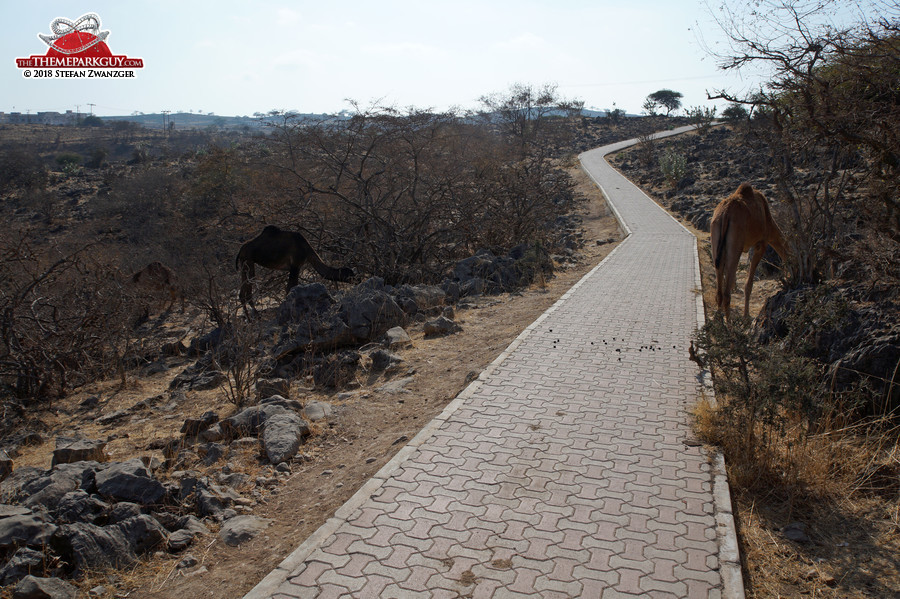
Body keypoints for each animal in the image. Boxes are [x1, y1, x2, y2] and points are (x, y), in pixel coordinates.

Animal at [712, 184, 788, 318]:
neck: (768, 220)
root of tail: (725, 214)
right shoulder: (761, 243)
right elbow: (749, 284)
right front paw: (746, 317)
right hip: (735, 245)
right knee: (726, 294)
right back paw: (729, 323)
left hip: (716, 236)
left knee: (719, 291)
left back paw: (718, 319)